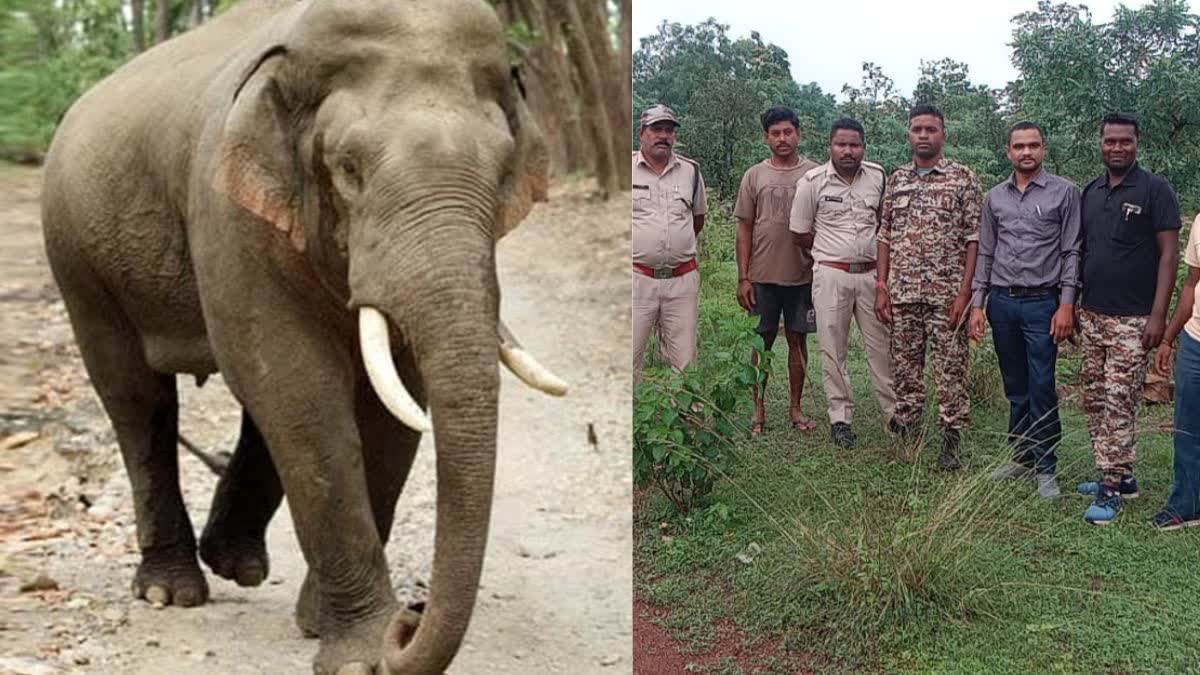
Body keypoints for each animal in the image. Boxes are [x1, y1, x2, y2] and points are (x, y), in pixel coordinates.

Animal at [41, 2, 566, 667]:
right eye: (348, 170)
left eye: (502, 174)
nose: (412, 618)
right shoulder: (227, 211)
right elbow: (302, 390)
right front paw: (362, 654)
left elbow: (387, 406)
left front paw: (327, 628)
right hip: (78, 262)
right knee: (138, 401)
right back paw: (170, 590)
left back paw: (235, 564)